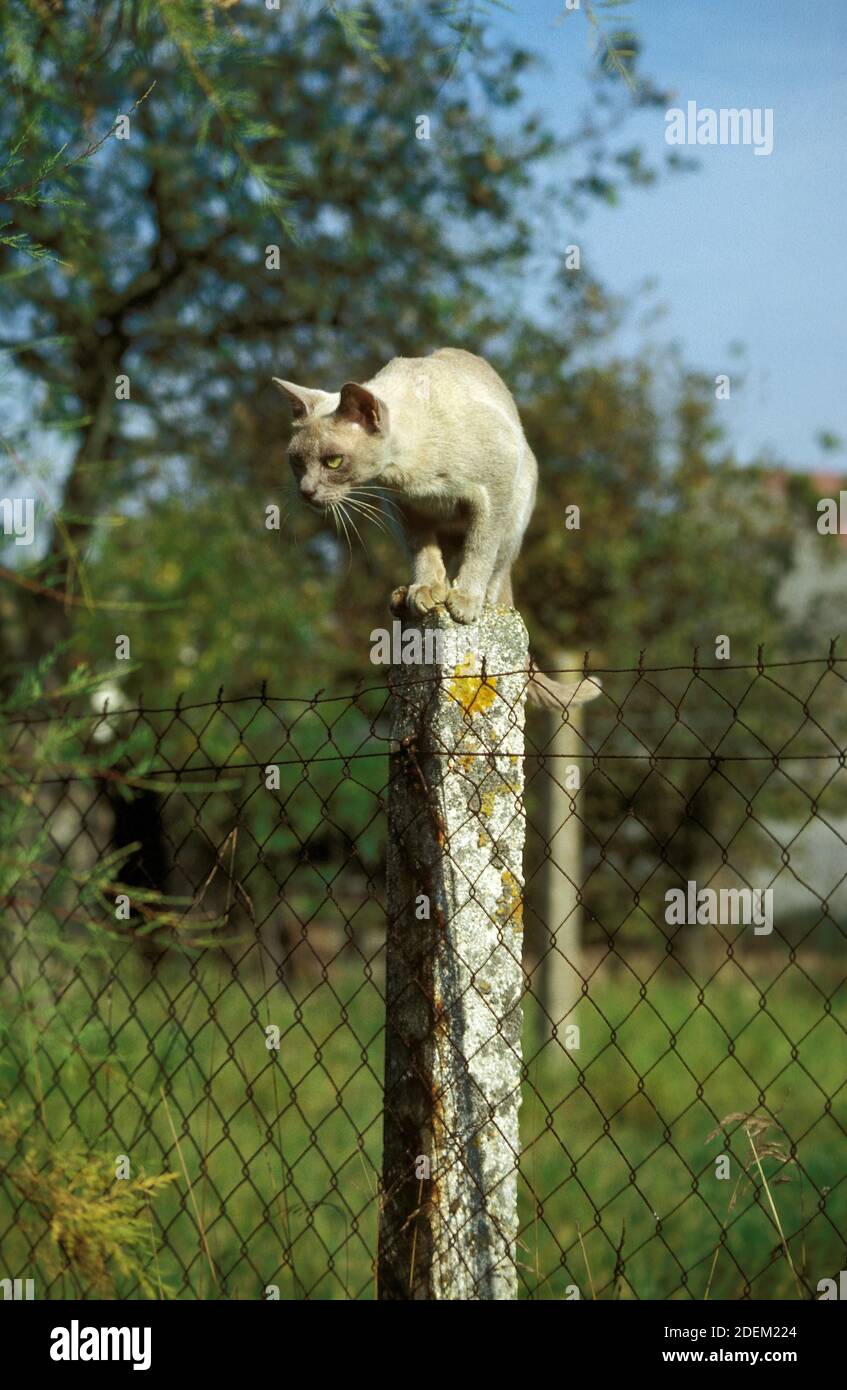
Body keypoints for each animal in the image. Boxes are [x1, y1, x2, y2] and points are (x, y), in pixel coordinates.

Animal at [273, 347, 598, 706]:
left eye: (333, 462)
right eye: (297, 461)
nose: (306, 492)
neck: (412, 472)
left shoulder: (491, 494)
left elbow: (479, 551)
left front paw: (464, 601)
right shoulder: (405, 511)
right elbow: (425, 556)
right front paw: (426, 591)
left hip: (515, 512)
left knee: (495, 572)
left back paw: (472, 598)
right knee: (447, 564)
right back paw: (409, 596)